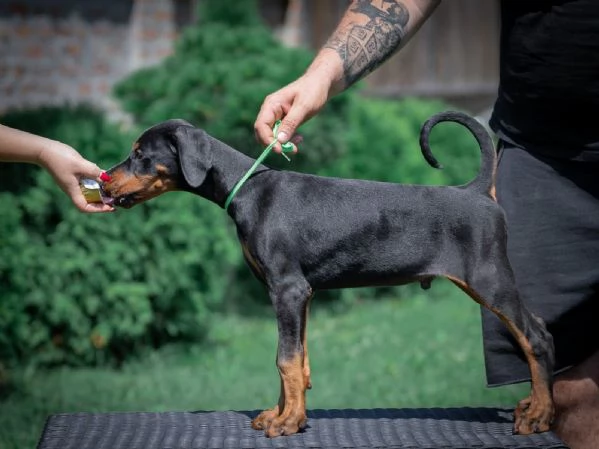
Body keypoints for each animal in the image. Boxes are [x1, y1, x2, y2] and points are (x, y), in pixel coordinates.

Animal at [103, 112, 556, 438]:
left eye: (140, 153)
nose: (104, 182)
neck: (247, 189)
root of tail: (476, 191)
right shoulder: (301, 293)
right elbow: (298, 359)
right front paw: (284, 414)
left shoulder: (287, 289)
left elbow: (285, 358)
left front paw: (286, 423)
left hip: (489, 278)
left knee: (536, 337)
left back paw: (541, 414)